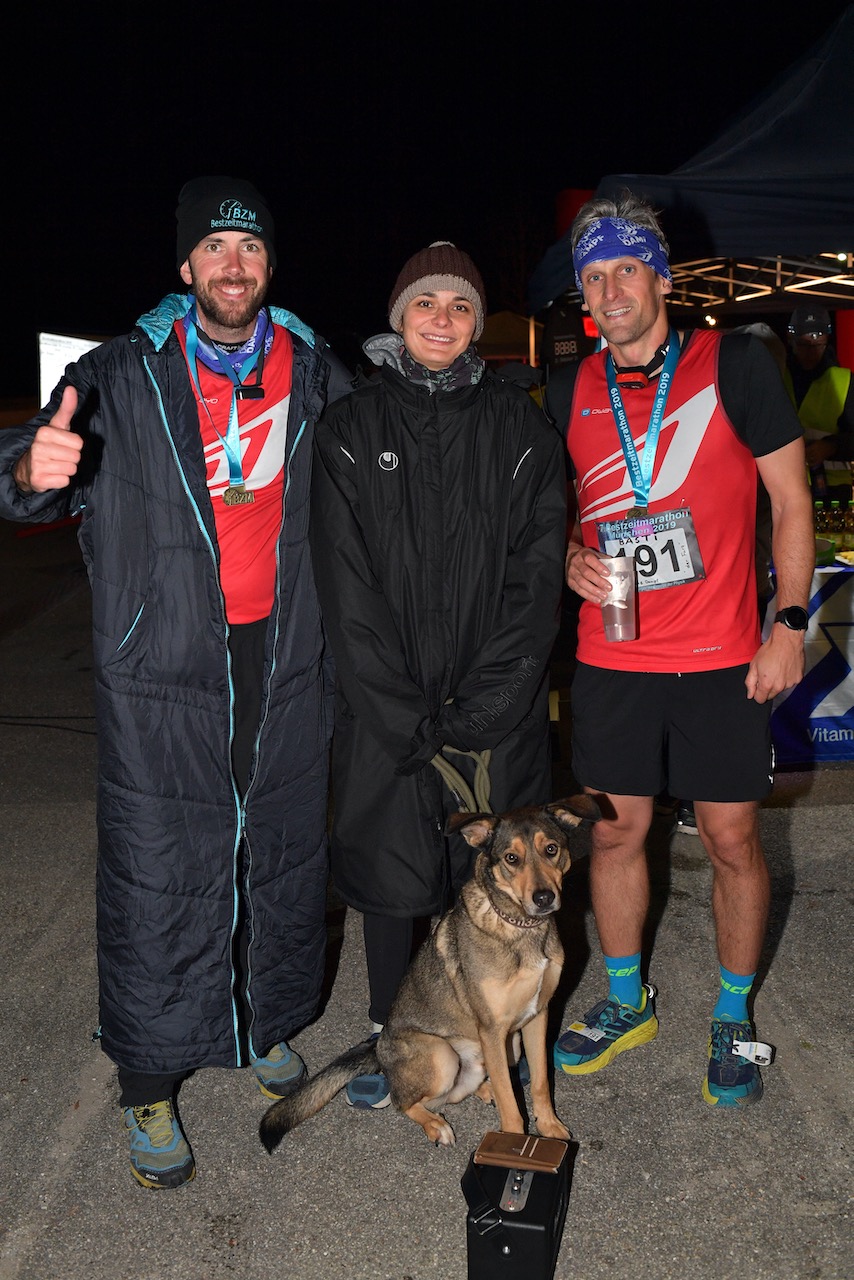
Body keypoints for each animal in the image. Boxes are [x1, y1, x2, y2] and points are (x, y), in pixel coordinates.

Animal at [261, 793, 601, 1157]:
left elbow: (539, 1082)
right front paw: (512, 1144)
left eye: (551, 849)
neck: (520, 928)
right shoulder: (492, 1029)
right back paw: (437, 1124)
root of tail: (378, 1048)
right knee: (407, 1101)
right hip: (443, 1055)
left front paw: (549, 1127)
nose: (544, 898)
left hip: (503, 1049)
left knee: (457, 1093)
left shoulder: (538, 1016)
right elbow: (513, 1107)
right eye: (512, 858)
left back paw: (485, 1090)